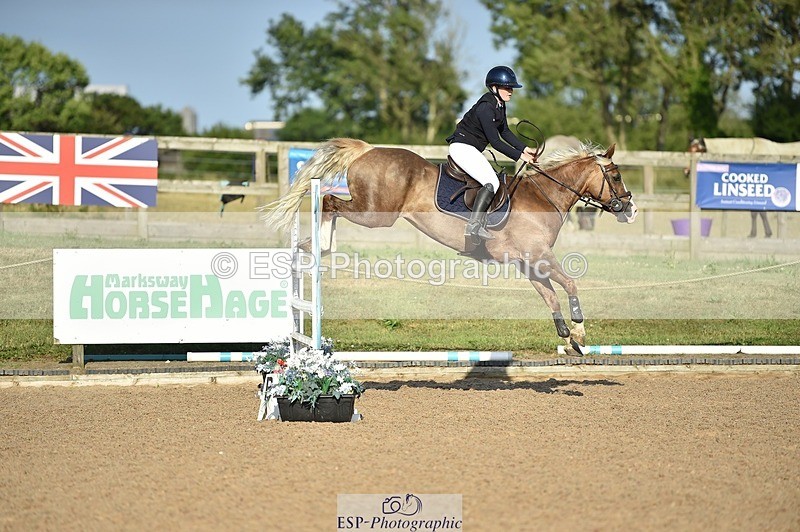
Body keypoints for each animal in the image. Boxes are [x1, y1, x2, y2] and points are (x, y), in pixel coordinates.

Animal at [262, 138, 638, 347]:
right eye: (616, 175)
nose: (631, 209)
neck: (544, 196)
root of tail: (368, 150)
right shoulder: (538, 255)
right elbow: (570, 284)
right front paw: (580, 331)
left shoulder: (528, 261)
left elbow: (549, 295)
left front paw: (568, 337)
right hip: (375, 213)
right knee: (328, 200)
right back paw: (320, 245)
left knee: (329, 202)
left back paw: (312, 246)